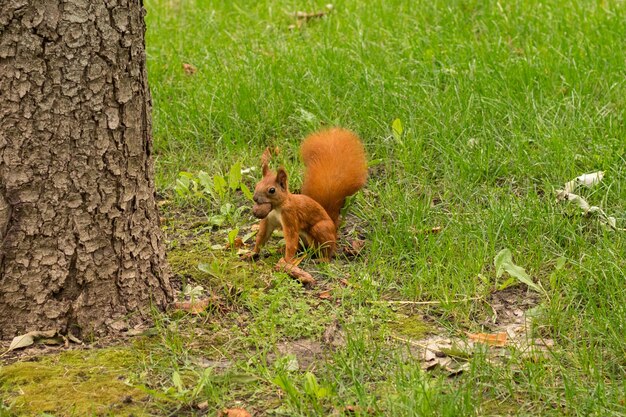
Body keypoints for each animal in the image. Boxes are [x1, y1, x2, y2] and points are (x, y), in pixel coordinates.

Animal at [249, 127, 366, 264]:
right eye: (257, 185)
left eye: (272, 190)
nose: (255, 198)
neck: (276, 208)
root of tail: (334, 229)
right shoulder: (268, 219)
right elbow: (262, 236)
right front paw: (252, 253)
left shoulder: (290, 215)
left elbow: (291, 239)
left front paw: (286, 261)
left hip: (321, 229)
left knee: (327, 250)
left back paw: (322, 259)